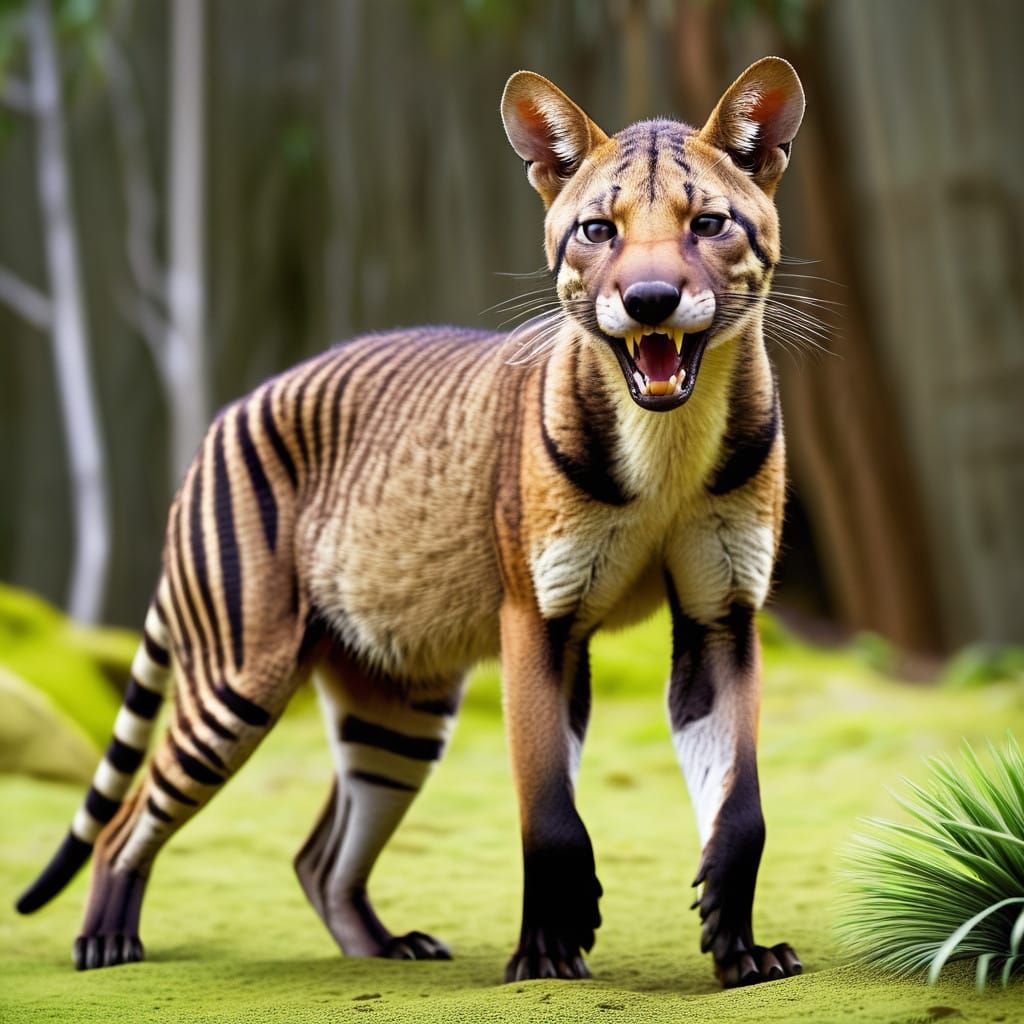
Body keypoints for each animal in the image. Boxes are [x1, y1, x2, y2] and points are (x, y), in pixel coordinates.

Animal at [17, 56, 805, 988]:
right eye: (598, 230)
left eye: (708, 224)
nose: (650, 300)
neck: (668, 441)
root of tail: (226, 412)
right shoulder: (541, 617)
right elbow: (546, 804)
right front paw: (548, 951)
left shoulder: (721, 614)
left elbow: (742, 799)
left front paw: (741, 947)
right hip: (237, 679)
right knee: (125, 817)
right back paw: (106, 943)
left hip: (395, 710)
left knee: (320, 856)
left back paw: (386, 948)